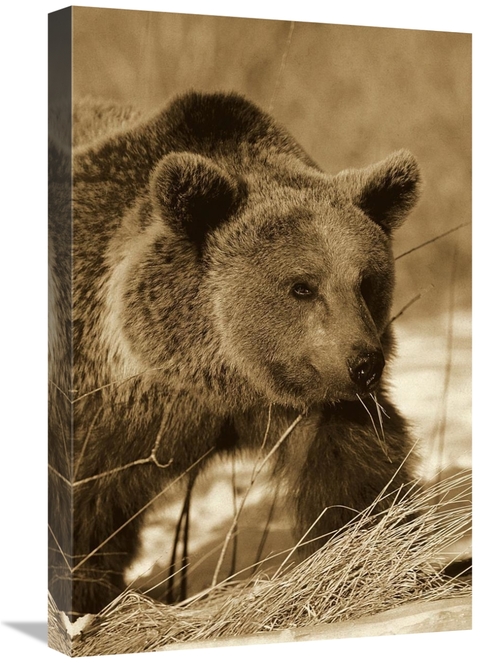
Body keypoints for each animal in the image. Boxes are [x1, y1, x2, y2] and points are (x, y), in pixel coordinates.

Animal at [48, 91, 421, 619]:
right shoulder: (102, 404)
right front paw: (84, 599)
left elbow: (355, 472)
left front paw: (366, 548)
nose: (364, 363)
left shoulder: (312, 403)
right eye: (302, 286)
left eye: (367, 281)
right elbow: (84, 509)